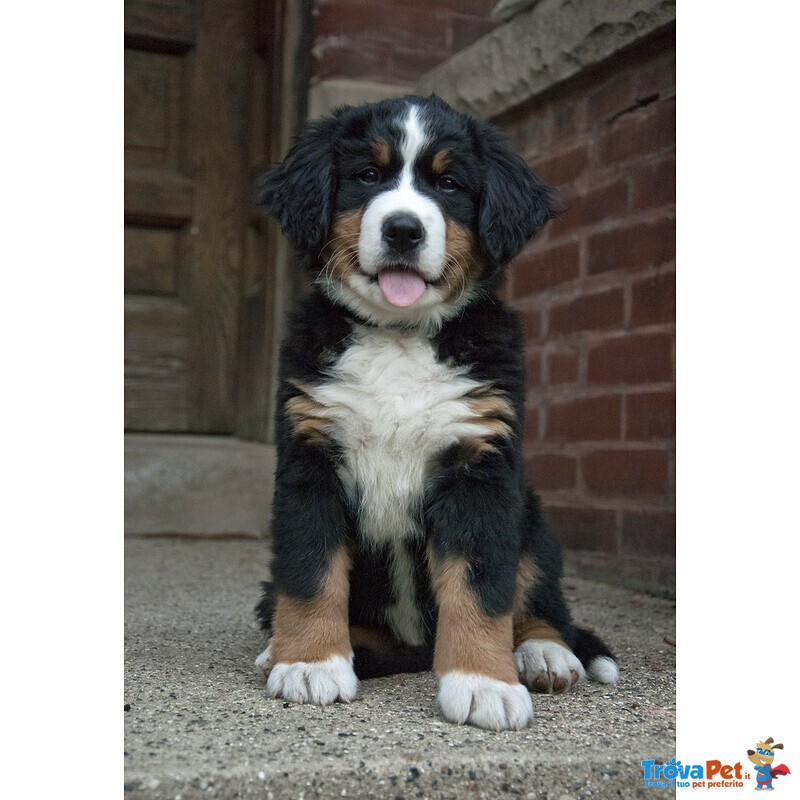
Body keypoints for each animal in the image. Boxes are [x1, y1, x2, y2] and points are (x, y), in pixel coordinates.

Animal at [255, 94, 620, 732]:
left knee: (540, 599)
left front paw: (483, 683)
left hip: (531, 518)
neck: (399, 338)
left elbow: (480, 587)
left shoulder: (480, 467)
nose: (403, 229)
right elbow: (310, 570)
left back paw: (546, 654)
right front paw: (309, 664)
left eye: (448, 184)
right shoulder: (310, 458)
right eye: (367, 176)